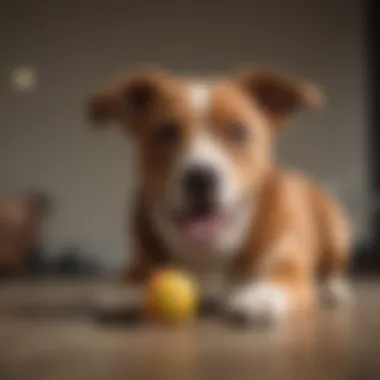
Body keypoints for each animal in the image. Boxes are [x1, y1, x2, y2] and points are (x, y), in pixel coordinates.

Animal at [87, 67, 352, 324]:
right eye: (166, 131)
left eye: (237, 130)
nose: (200, 178)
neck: (210, 249)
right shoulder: (143, 254)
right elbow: (135, 270)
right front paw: (126, 289)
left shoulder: (288, 267)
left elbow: (280, 279)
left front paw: (260, 295)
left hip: (335, 232)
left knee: (333, 267)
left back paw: (334, 289)